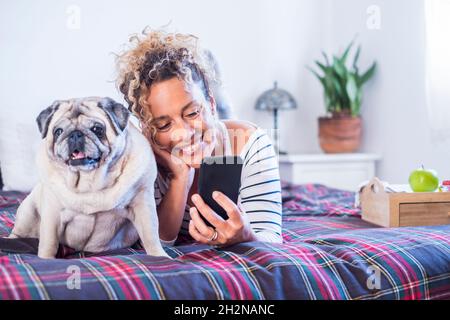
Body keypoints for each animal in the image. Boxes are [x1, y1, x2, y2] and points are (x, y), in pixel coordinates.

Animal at [7, 96, 170, 258]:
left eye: (97, 129)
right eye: (58, 131)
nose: (75, 134)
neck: (88, 181)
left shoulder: (142, 204)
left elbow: (150, 235)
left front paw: (159, 255)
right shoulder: (52, 214)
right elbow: (49, 242)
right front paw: (46, 258)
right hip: (28, 212)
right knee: (19, 233)